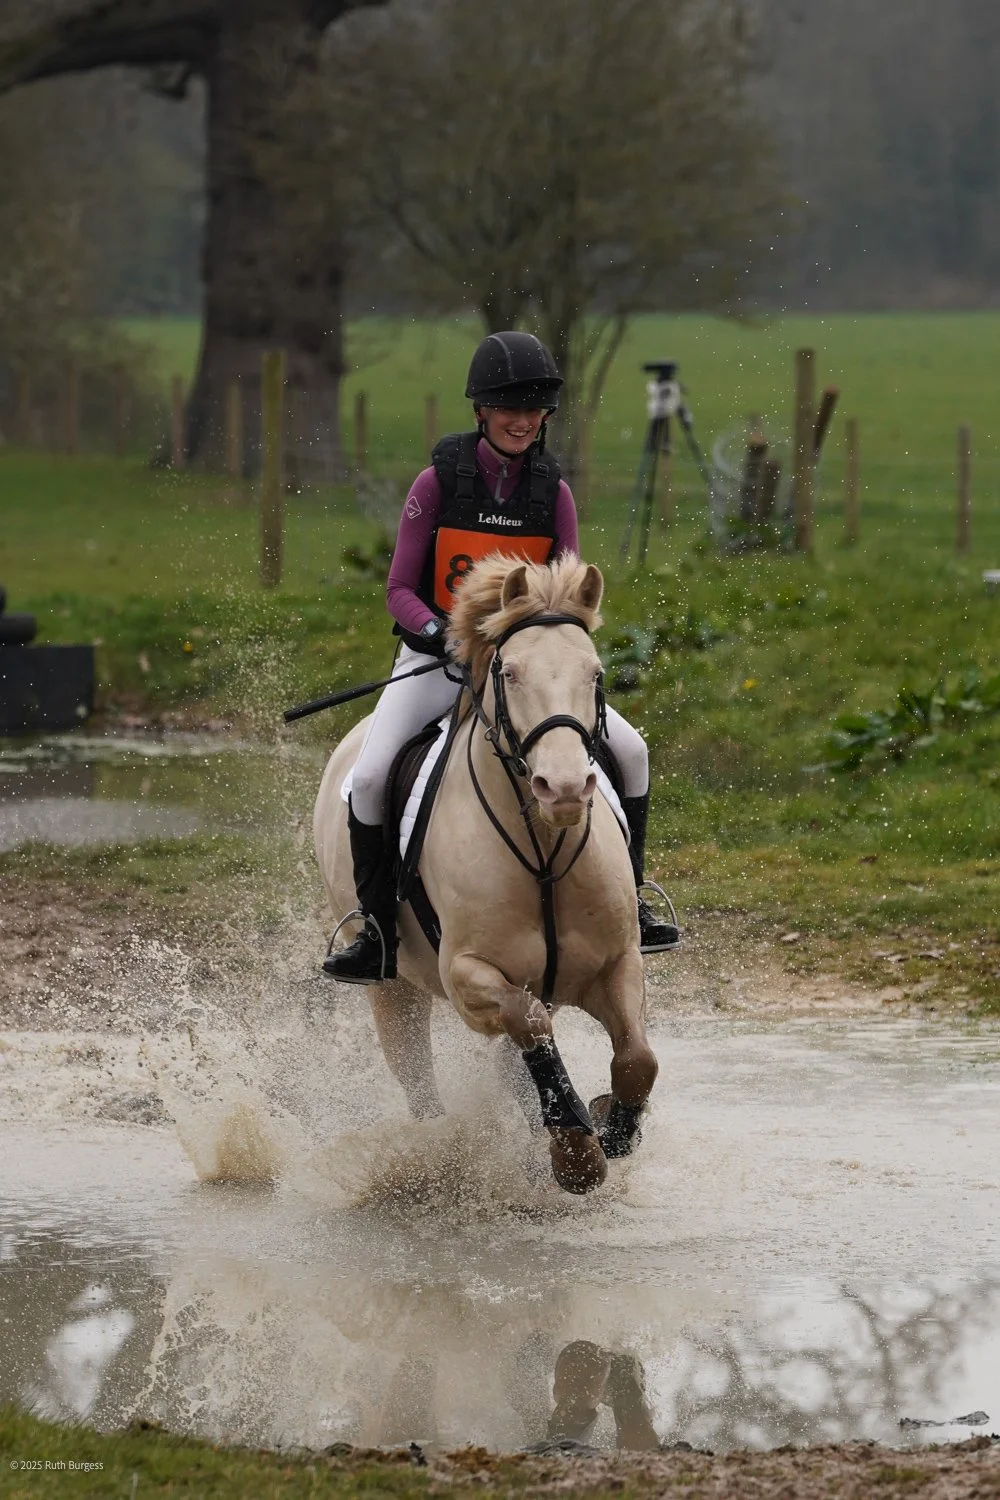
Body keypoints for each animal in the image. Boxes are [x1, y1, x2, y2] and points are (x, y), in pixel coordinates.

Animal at [313, 554, 658, 1194]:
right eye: (511, 673)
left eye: (596, 674)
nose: (564, 789)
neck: (543, 853)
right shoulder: (468, 976)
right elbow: (527, 1025)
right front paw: (575, 1150)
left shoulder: (615, 963)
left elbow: (636, 1058)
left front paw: (613, 1129)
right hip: (394, 988)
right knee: (419, 1080)